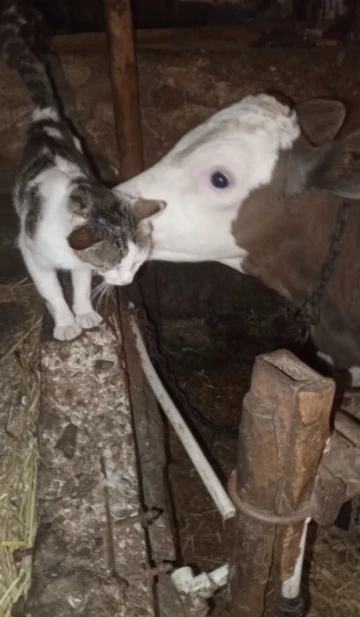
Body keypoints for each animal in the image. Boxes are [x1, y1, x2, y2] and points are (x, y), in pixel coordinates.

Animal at [0, 4, 165, 340]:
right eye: (113, 266)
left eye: (136, 262)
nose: (127, 281)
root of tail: (46, 119)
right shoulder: (32, 254)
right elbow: (52, 292)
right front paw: (65, 322)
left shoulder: (81, 264)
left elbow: (80, 285)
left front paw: (85, 312)